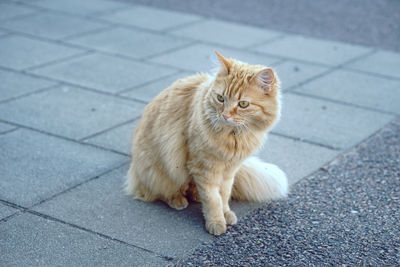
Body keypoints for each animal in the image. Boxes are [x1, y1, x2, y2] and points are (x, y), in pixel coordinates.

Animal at [125, 51, 288, 236]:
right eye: (220, 98)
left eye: (243, 104)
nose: (225, 115)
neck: (234, 137)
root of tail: (133, 168)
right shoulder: (204, 167)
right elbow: (213, 199)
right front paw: (216, 222)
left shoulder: (229, 170)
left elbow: (223, 195)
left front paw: (226, 213)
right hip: (160, 170)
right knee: (159, 192)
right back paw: (178, 200)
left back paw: (195, 195)